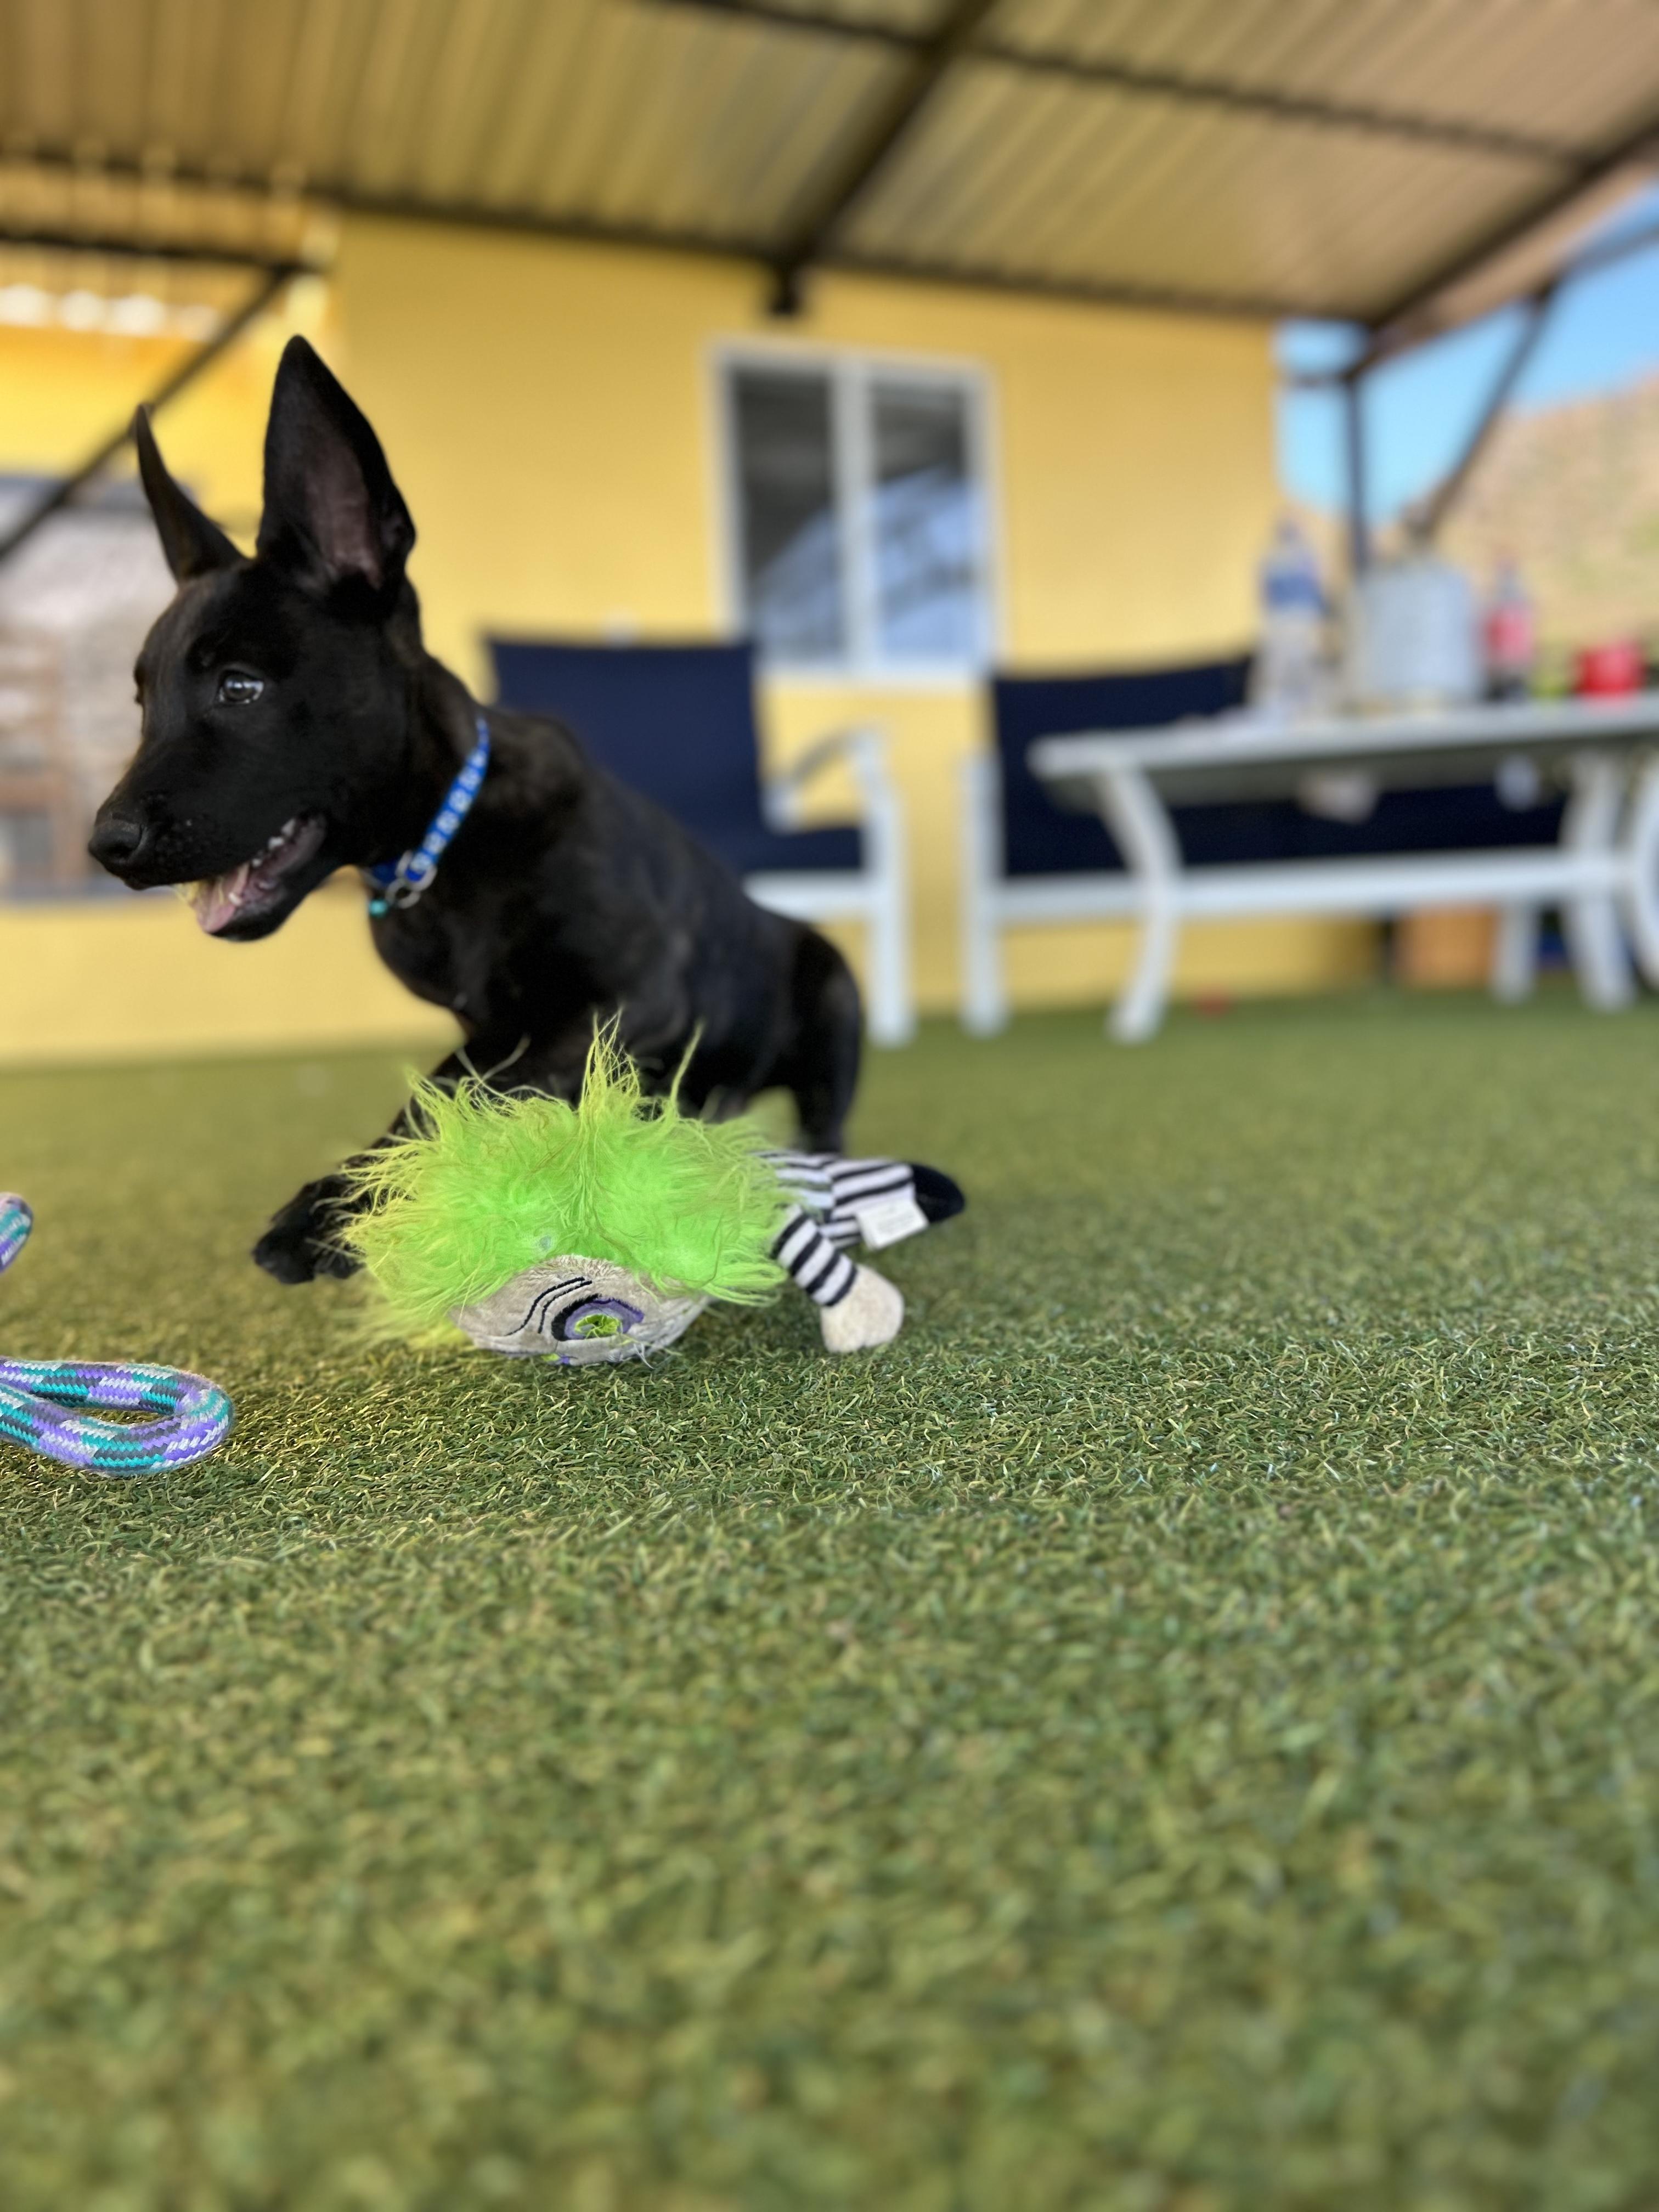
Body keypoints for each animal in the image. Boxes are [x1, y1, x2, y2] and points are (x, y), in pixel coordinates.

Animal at [90, 337, 863, 1285]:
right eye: (143, 701)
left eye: (240, 687)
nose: (105, 845)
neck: (442, 852)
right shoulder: (500, 1023)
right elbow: (468, 1082)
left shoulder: (626, 996)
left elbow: (462, 1089)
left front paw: (338, 1207)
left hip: (834, 996)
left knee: (827, 1126)